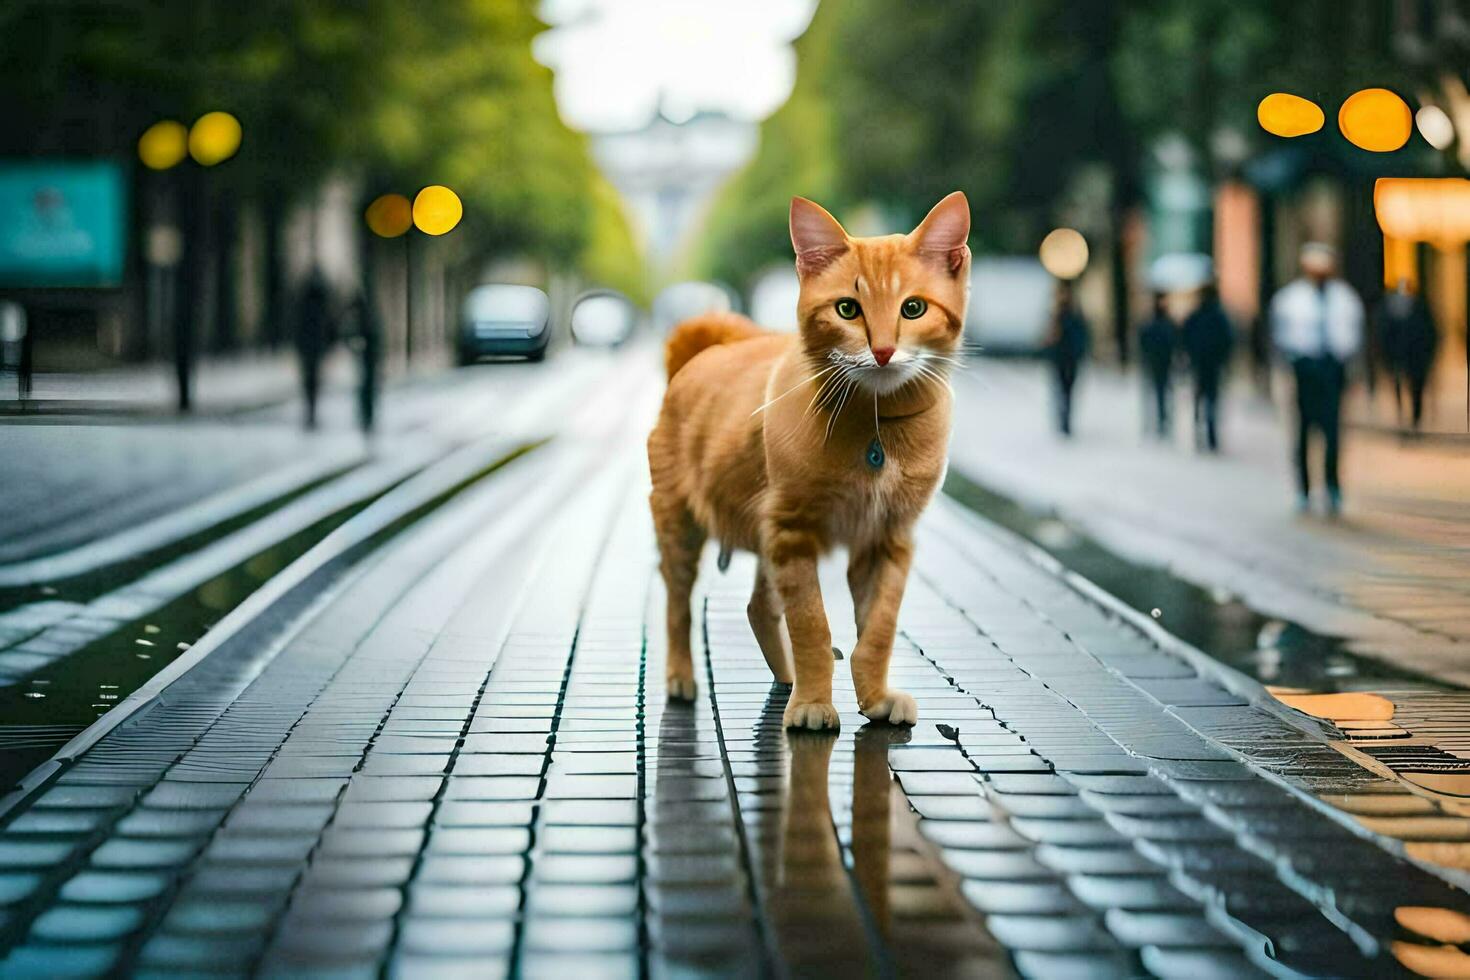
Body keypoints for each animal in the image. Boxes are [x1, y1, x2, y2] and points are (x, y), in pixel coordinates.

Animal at [649, 193, 970, 728]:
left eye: (913, 308)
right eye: (847, 309)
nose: (883, 350)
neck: (877, 427)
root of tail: (703, 351)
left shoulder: (888, 539)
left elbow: (878, 630)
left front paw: (874, 696)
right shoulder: (794, 532)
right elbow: (811, 626)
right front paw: (814, 703)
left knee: (758, 608)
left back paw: (787, 677)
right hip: (682, 527)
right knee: (678, 605)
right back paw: (683, 676)